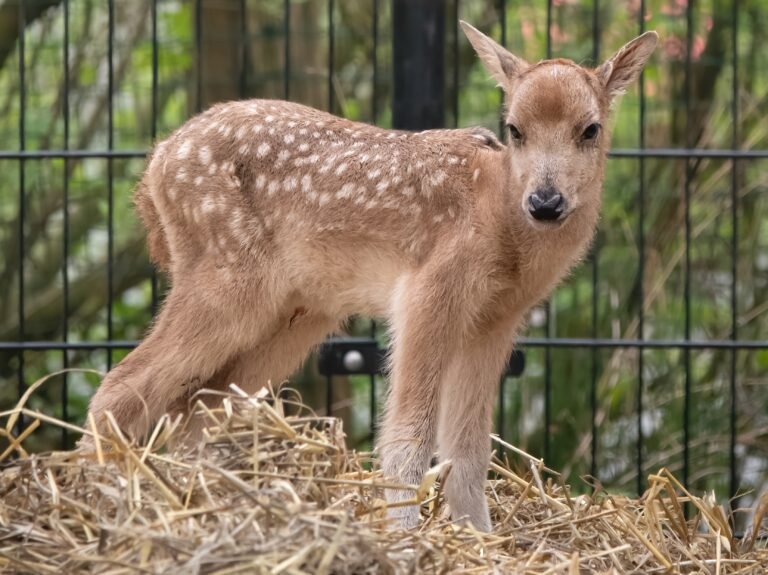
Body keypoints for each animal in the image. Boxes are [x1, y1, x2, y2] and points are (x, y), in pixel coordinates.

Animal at [81, 22, 656, 532]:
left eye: (590, 129)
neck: (498, 216)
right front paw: (404, 537)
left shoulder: (495, 323)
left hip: (298, 315)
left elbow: (469, 450)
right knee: (119, 385)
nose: (545, 202)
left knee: (198, 408)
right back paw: (92, 504)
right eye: (514, 128)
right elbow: (409, 439)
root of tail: (152, 169)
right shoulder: (427, 294)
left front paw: (480, 540)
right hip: (228, 281)